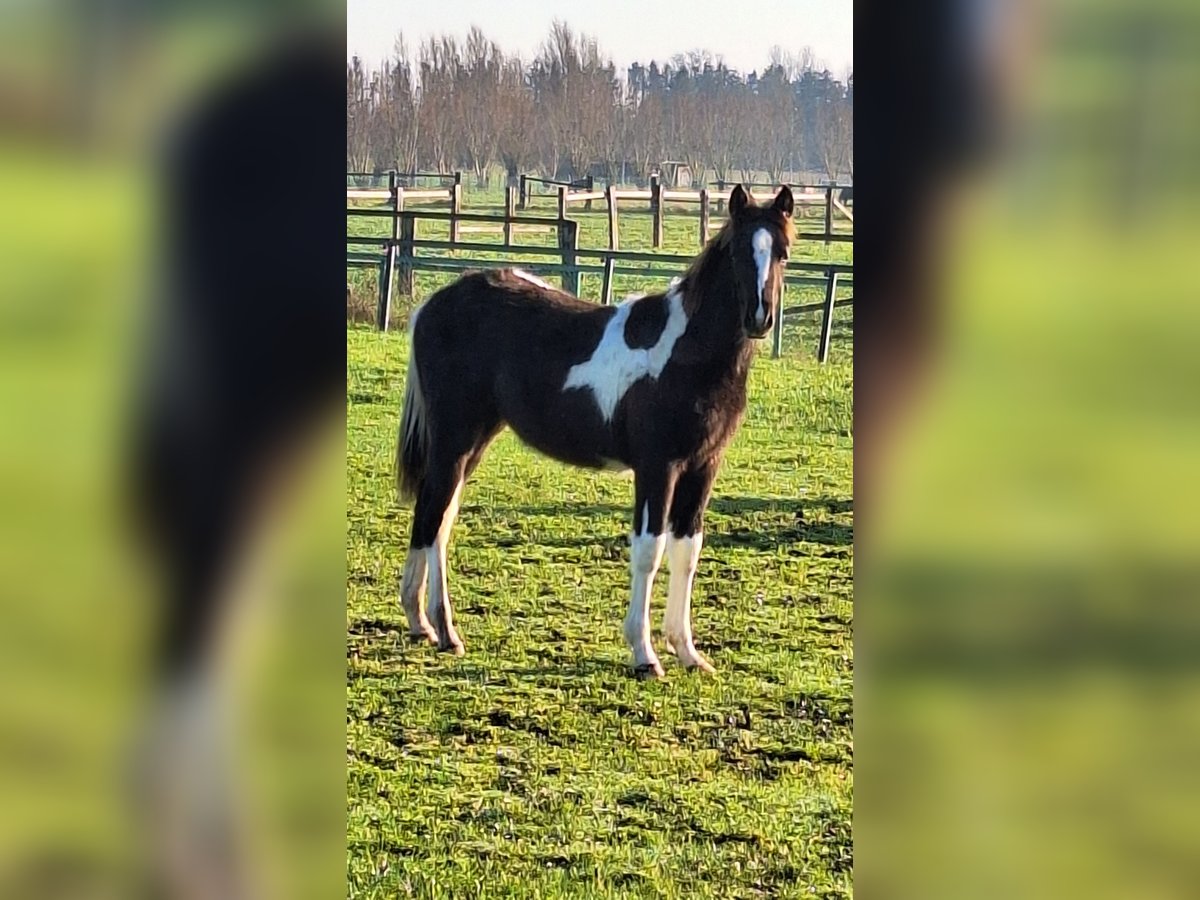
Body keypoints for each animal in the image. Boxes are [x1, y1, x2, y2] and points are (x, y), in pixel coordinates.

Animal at [396, 183, 796, 676]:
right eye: (740, 251)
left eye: (782, 252)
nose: (760, 317)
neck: (687, 354)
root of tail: (431, 305)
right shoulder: (657, 467)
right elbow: (649, 551)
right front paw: (644, 654)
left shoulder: (703, 467)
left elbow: (687, 552)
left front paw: (687, 652)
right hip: (454, 439)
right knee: (436, 516)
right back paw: (445, 631)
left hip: (473, 441)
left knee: (437, 514)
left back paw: (421, 623)